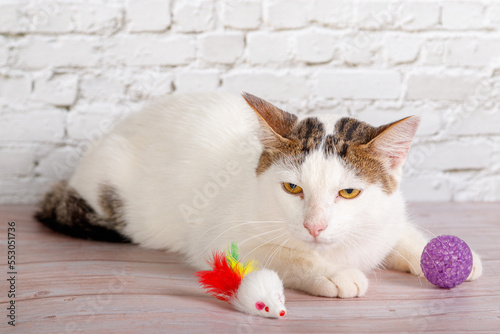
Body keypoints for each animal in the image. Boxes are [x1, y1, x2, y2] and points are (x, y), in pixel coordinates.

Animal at [35, 92, 480, 298]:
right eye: (292, 187)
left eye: (349, 192)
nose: (315, 227)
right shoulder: (217, 237)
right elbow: (280, 255)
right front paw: (332, 273)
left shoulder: (386, 215)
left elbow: (399, 233)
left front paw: (448, 256)